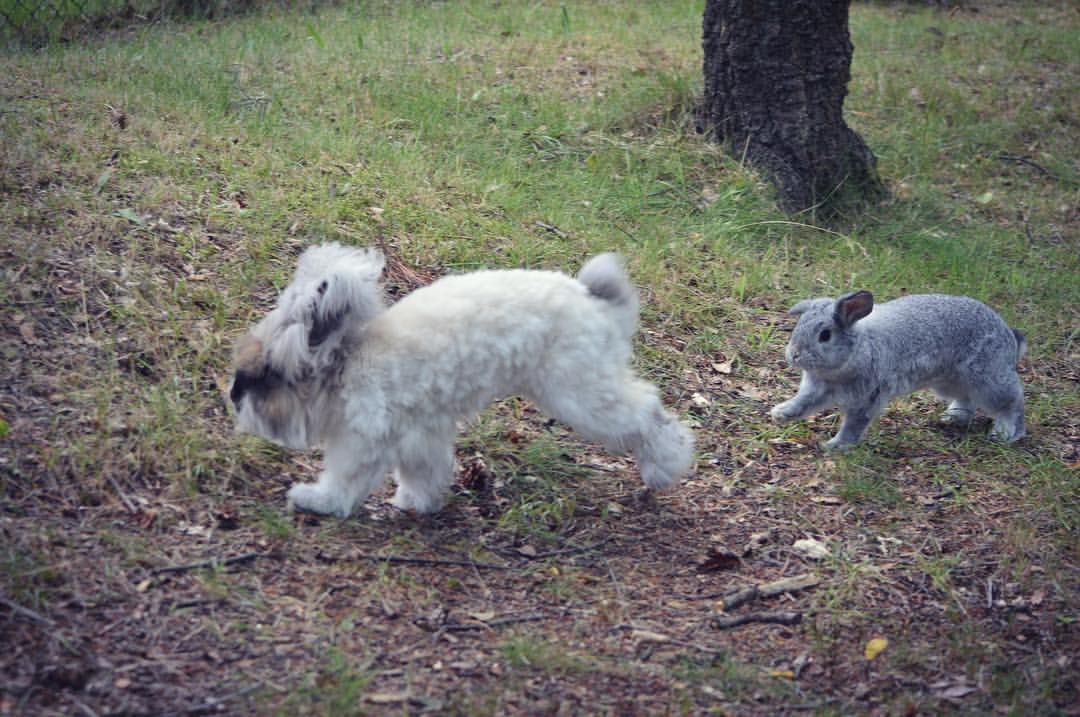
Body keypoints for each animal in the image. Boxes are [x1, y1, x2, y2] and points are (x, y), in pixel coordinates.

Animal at [230, 243, 694, 517]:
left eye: (269, 374)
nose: (234, 397)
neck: (348, 361)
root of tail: (597, 304)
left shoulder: (363, 440)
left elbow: (344, 481)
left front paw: (316, 501)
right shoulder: (422, 432)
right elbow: (424, 471)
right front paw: (416, 503)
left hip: (580, 394)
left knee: (650, 416)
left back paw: (664, 470)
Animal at [770, 290, 1026, 450]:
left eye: (825, 335)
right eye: (798, 326)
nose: (793, 355)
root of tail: (1009, 335)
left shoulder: (867, 400)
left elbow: (854, 425)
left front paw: (835, 446)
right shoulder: (816, 390)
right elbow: (802, 403)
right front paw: (780, 413)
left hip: (988, 379)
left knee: (1012, 402)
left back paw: (1005, 433)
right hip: (948, 382)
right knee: (966, 399)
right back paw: (952, 418)